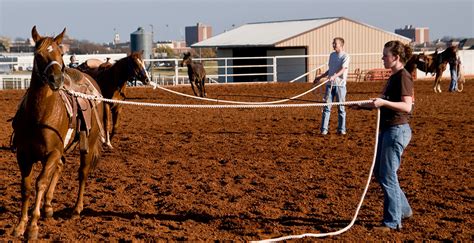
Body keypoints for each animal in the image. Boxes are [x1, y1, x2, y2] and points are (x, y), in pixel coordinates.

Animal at [11, 26, 104, 239]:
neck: (39, 115)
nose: (56, 79)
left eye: (60, 54)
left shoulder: (52, 153)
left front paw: (33, 227)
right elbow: (26, 187)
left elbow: (40, 183)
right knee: (61, 167)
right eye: (38, 54)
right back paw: (48, 207)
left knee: (82, 173)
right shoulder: (24, 155)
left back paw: (76, 209)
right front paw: (20, 225)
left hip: (87, 143)